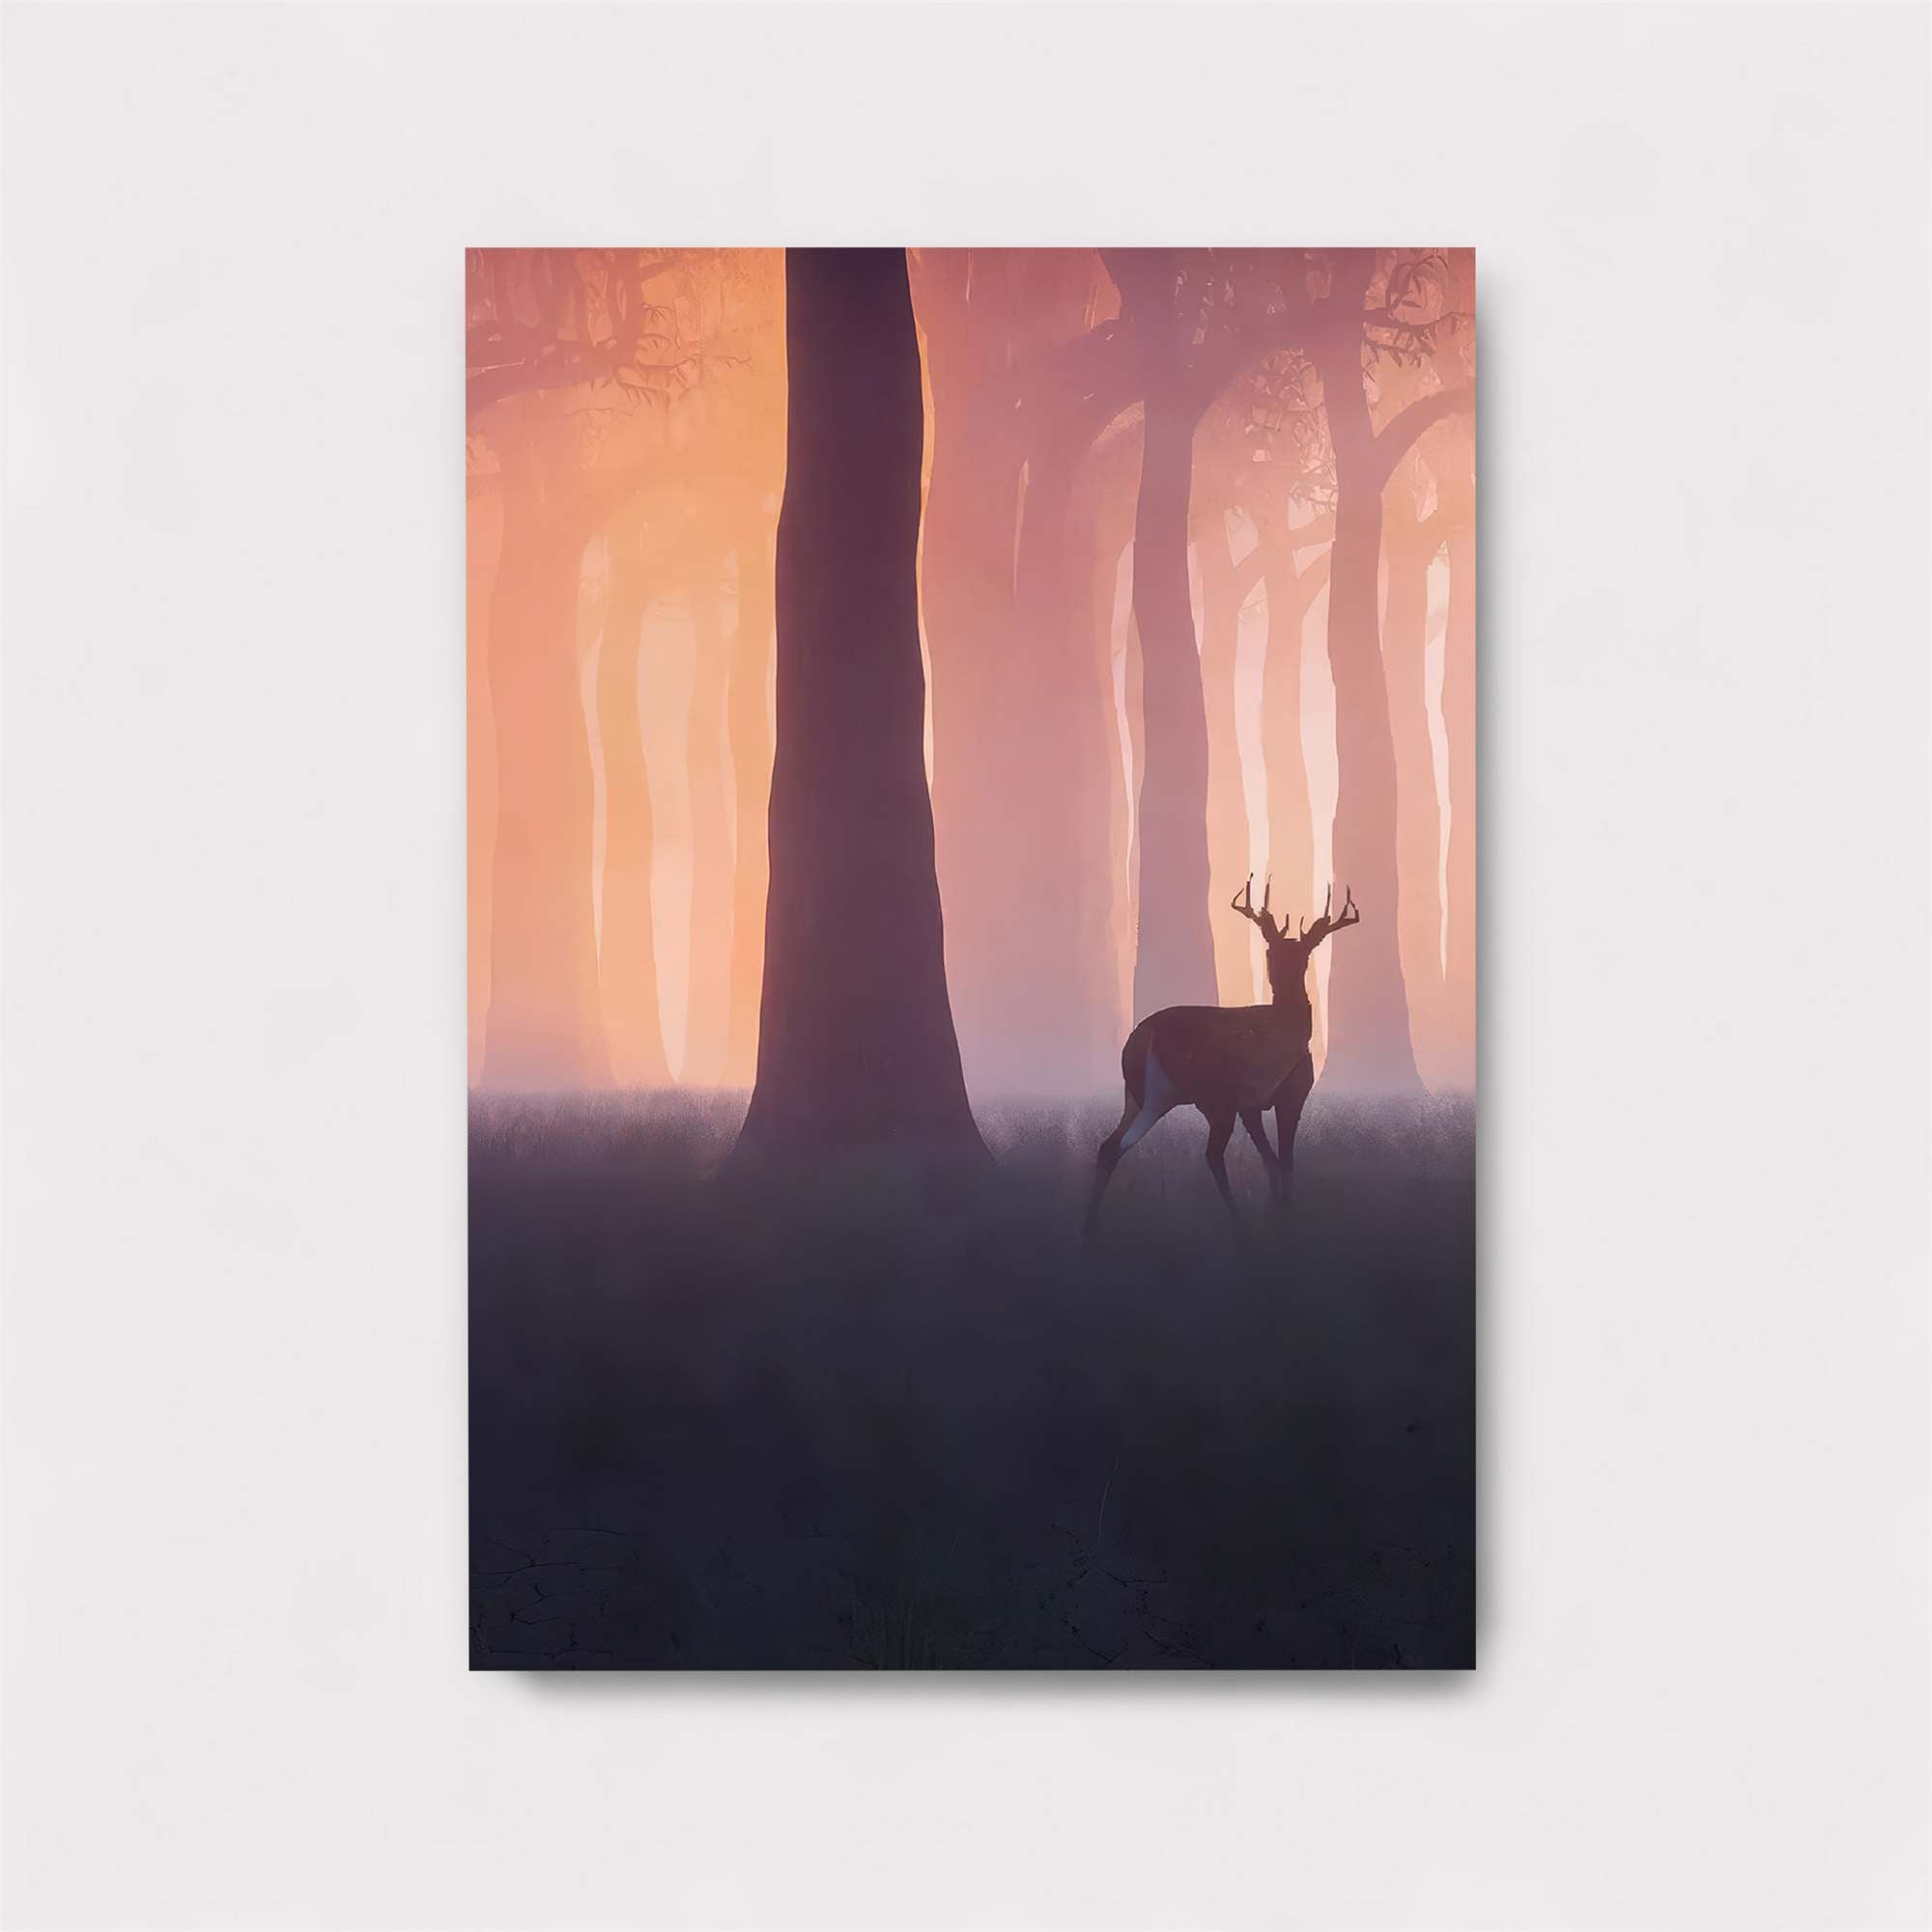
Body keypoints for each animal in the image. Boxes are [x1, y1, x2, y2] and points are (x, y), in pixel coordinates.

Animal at [1083, 879, 1360, 1238]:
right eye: (1271, 952)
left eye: (1302, 954)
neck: (1288, 1027)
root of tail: (1141, 1037)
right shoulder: (1287, 1093)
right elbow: (1285, 1161)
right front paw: (1285, 1216)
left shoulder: (1251, 1105)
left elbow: (1271, 1161)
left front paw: (1277, 1211)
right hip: (1195, 1096)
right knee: (1209, 1154)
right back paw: (1240, 1226)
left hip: (1137, 1098)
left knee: (1109, 1145)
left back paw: (1090, 1226)